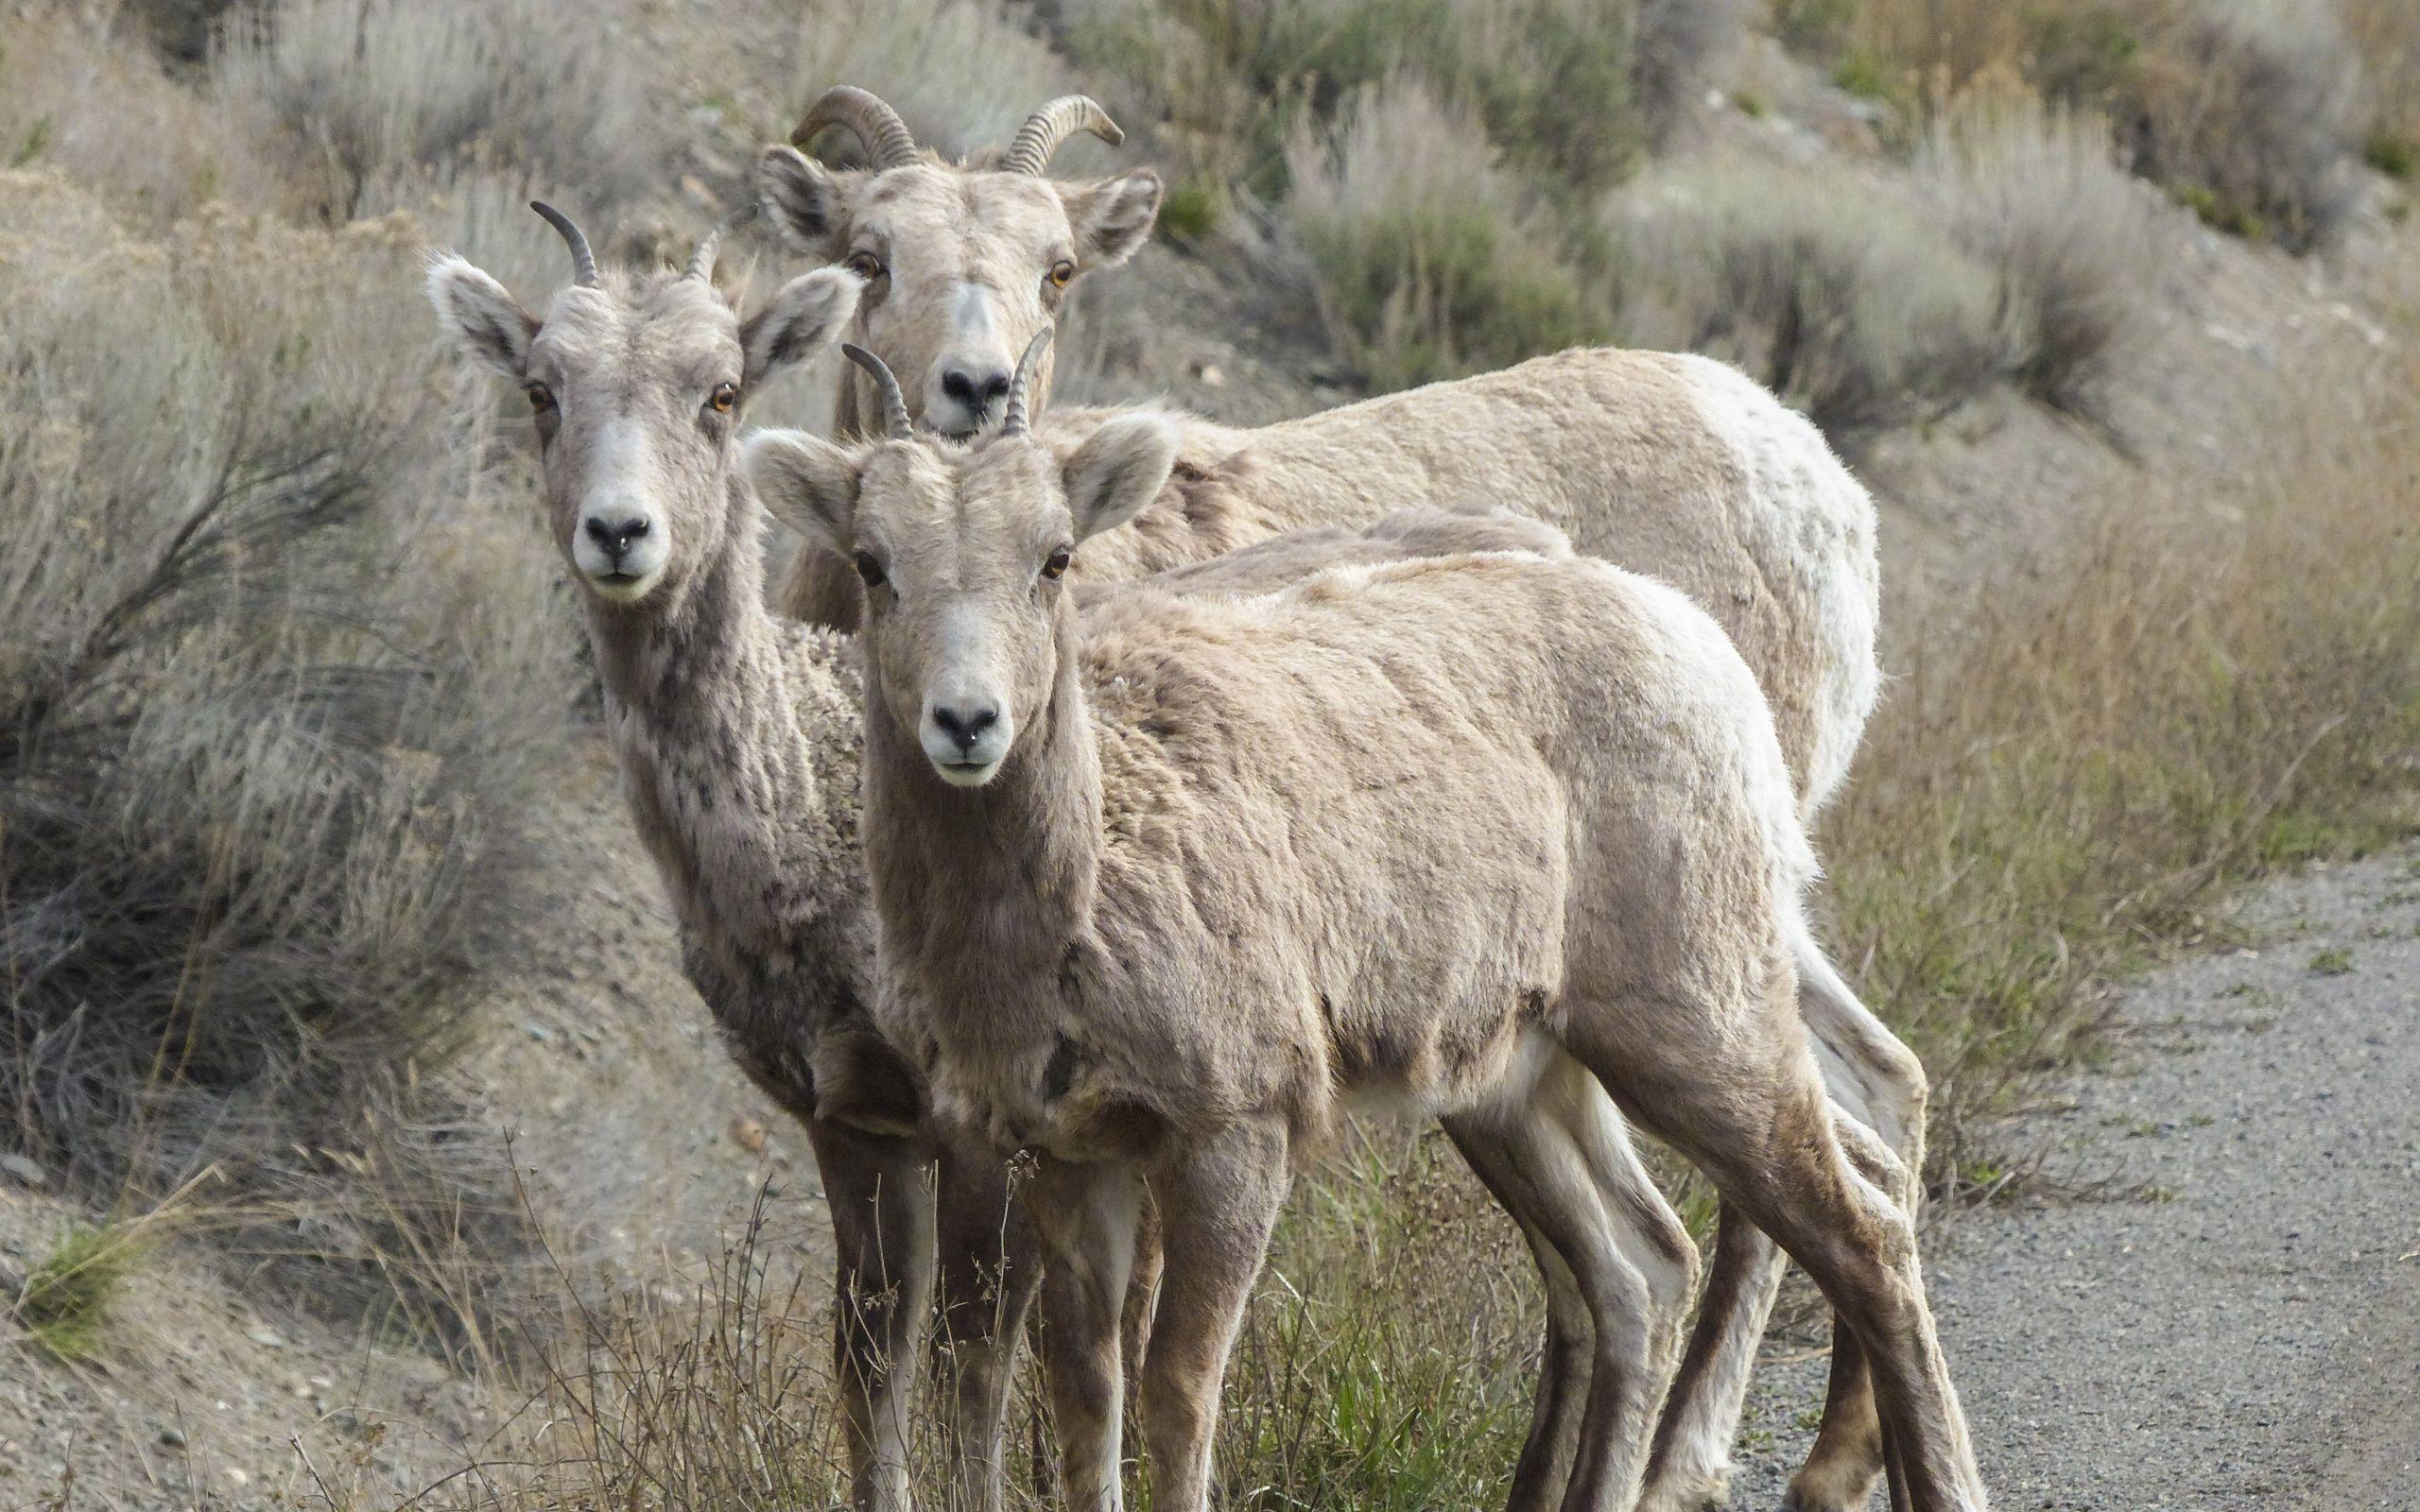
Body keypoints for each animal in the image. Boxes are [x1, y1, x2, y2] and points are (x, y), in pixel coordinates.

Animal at [761, 93, 1913, 1508]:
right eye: (870, 258)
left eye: (1058, 270)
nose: (972, 396)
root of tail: (1817, 478)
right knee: (1871, 1103)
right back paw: (1823, 1463)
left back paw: (1691, 1466)